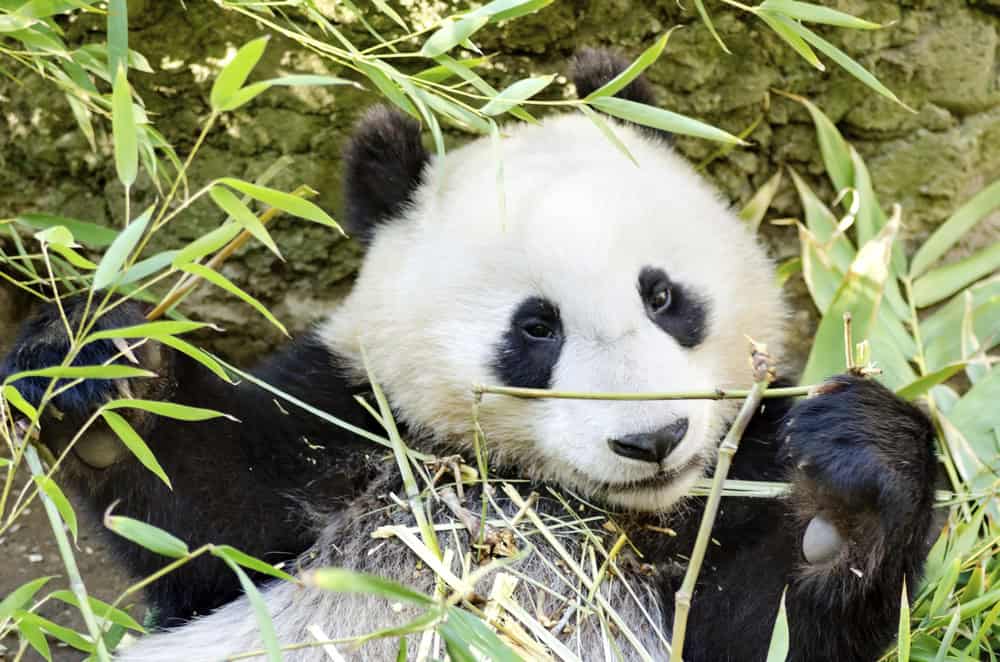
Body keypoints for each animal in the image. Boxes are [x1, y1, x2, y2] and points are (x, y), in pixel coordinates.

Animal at [1, 50, 936, 661]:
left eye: (664, 297)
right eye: (536, 329)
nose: (653, 441)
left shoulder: (730, 486)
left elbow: (766, 623)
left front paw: (849, 486)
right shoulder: (348, 422)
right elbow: (200, 514)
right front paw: (94, 372)